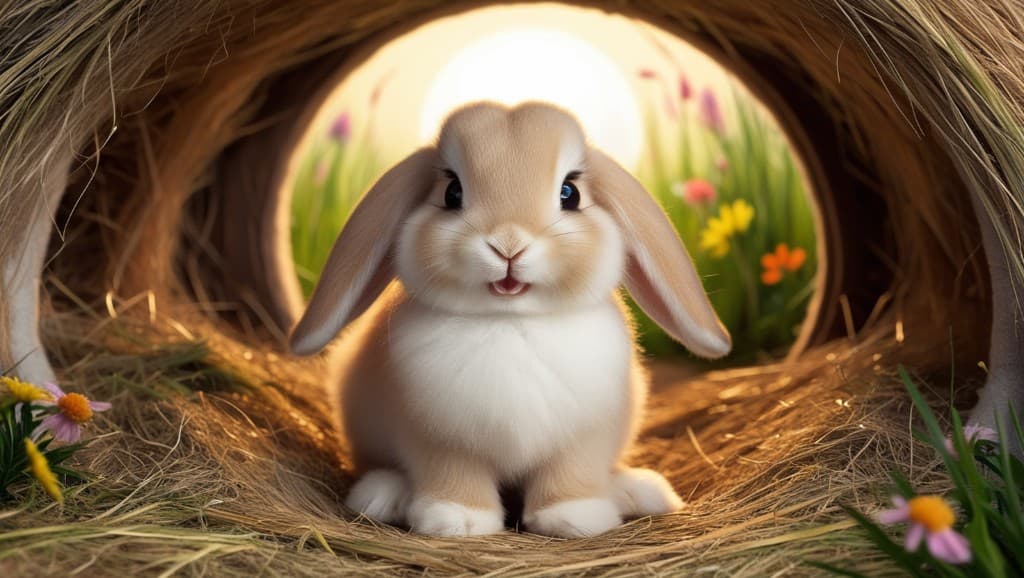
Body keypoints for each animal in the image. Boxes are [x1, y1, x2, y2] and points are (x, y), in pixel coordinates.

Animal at [290, 102, 732, 538]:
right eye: (451, 192)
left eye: (570, 193)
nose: (508, 245)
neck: (510, 321)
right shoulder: (438, 439)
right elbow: (451, 474)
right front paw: (458, 520)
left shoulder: (583, 438)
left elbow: (572, 474)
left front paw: (574, 517)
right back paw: (384, 495)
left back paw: (635, 491)